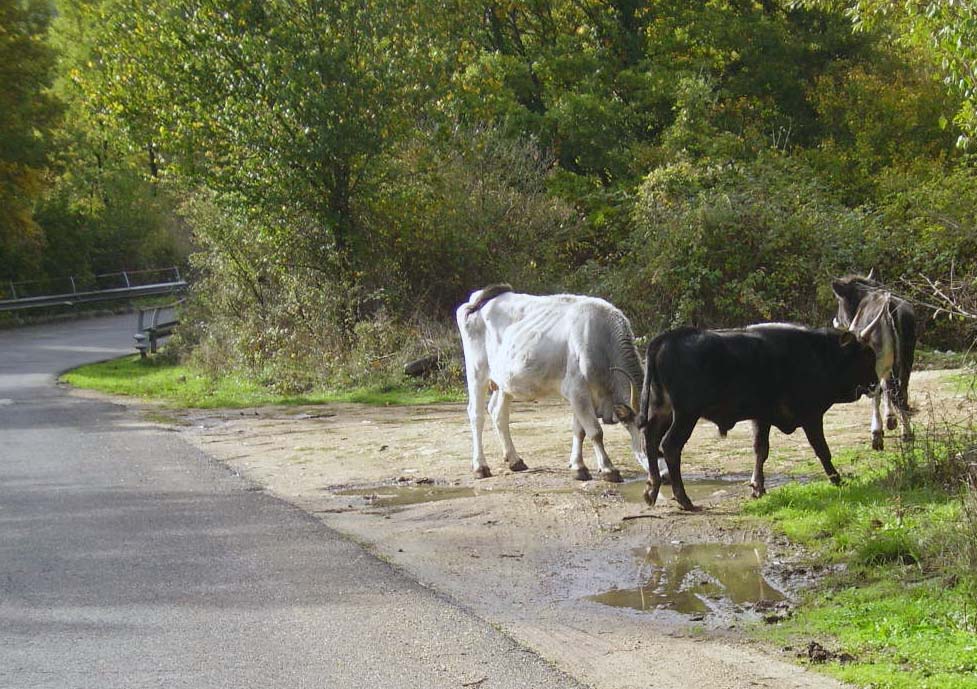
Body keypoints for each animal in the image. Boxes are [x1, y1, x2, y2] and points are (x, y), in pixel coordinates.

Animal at [454, 286, 660, 484]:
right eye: (648, 446)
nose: (664, 477)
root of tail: (478, 298)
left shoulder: (583, 395)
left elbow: (579, 430)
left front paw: (578, 467)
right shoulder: (577, 390)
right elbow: (595, 432)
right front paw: (609, 469)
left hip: (505, 382)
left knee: (498, 413)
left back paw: (515, 460)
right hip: (477, 372)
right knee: (476, 415)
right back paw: (480, 467)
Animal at [636, 324, 880, 510]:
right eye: (867, 357)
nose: (876, 383)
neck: (820, 354)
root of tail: (668, 337)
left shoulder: (762, 417)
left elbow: (761, 450)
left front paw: (758, 487)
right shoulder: (811, 416)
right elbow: (822, 450)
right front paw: (837, 479)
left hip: (663, 410)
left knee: (650, 439)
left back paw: (651, 489)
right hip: (685, 415)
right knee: (669, 446)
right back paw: (684, 499)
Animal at [832, 272, 916, 448]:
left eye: (838, 300)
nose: (836, 319)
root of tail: (890, 306)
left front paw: (881, 428)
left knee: (883, 390)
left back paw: (880, 431)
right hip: (907, 359)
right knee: (901, 391)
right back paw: (906, 432)